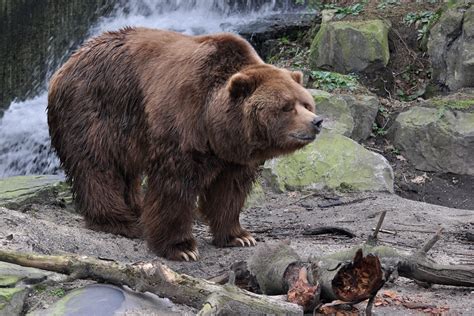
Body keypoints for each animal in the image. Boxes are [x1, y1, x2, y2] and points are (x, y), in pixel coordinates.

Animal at [47, 27, 322, 260]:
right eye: (287, 106)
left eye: (306, 103)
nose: (316, 122)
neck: (216, 126)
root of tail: (67, 63)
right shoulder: (183, 123)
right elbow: (174, 188)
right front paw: (181, 247)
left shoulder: (233, 155)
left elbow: (230, 190)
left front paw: (239, 236)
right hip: (92, 111)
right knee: (97, 167)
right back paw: (119, 221)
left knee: (126, 172)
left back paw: (136, 211)